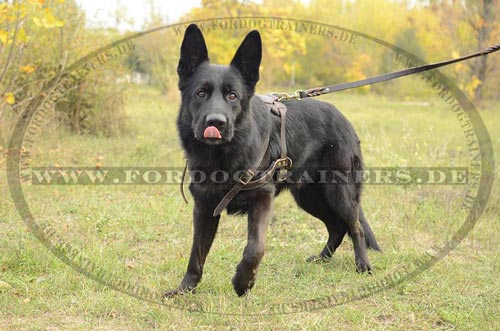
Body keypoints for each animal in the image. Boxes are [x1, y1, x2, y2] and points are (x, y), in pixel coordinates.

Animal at [166, 23, 380, 298]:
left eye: (232, 96)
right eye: (201, 93)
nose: (216, 123)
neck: (225, 157)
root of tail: (343, 118)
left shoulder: (262, 200)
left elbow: (255, 248)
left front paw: (243, 282)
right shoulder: (204, 208)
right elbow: (196, 253)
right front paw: (185, 289)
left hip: (339, 192)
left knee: (355, 227)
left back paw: (363, 265)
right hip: (309, 197)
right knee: (336, 226)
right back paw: (323, 258)